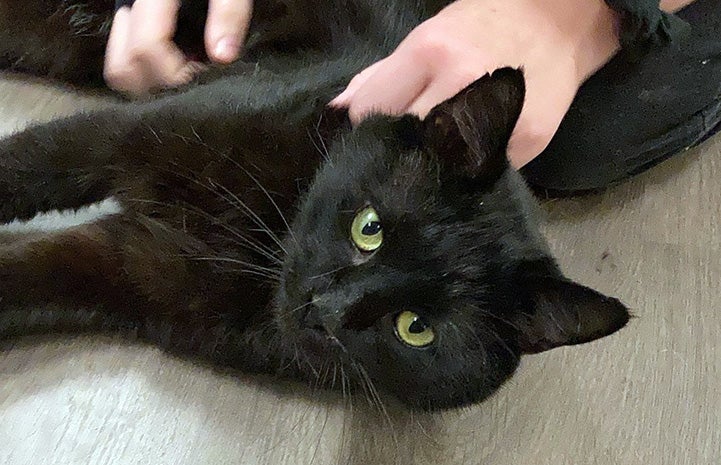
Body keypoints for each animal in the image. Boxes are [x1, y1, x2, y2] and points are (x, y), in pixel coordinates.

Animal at [0, 0, 628, 408]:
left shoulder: (135, 269)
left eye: (415, 329)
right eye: (369, 228)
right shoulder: (128, 134)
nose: (325, 308)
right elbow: (30, 162)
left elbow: (31, 273)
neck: (269, 225)